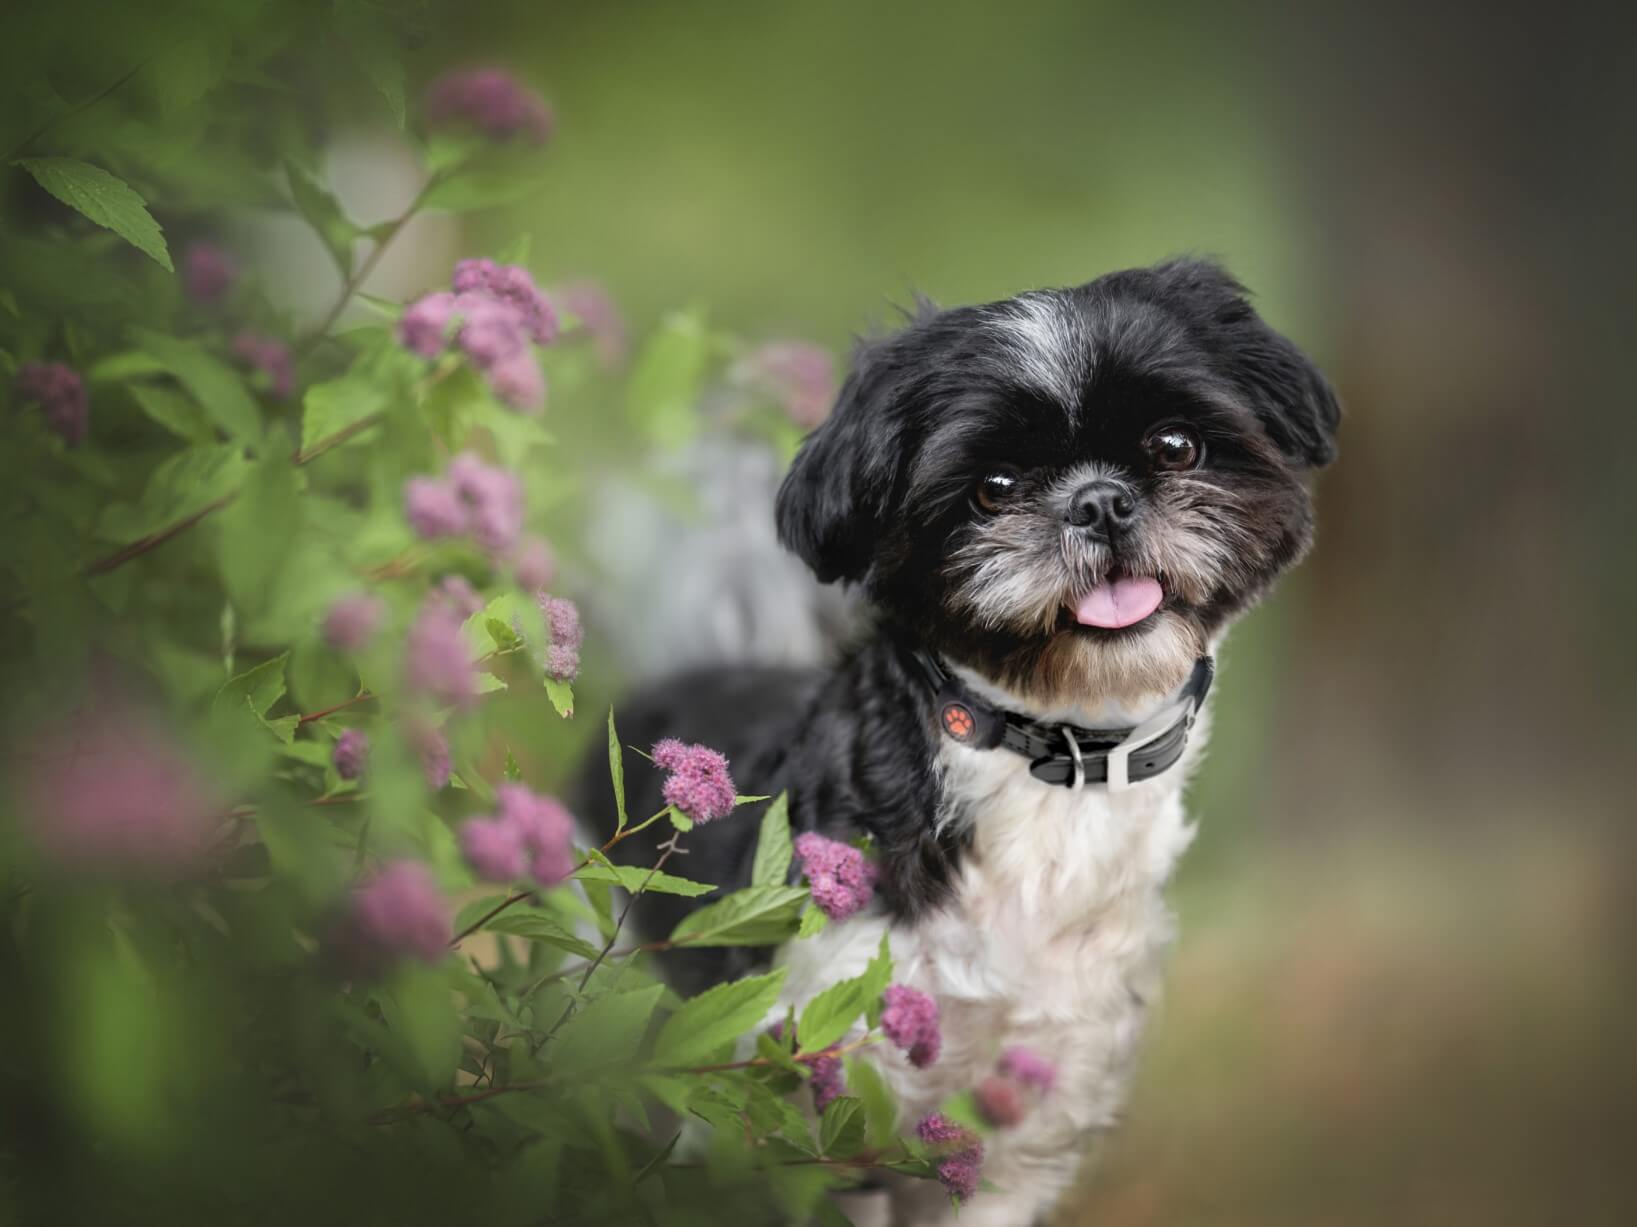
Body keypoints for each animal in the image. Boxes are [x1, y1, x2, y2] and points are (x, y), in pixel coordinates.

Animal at [595, 260, 1335, 1227]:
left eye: (1174, 445)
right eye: (994, 487)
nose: (1099, 500)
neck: (1050, 757)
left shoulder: (1020, 1125)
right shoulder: (813, 1104)